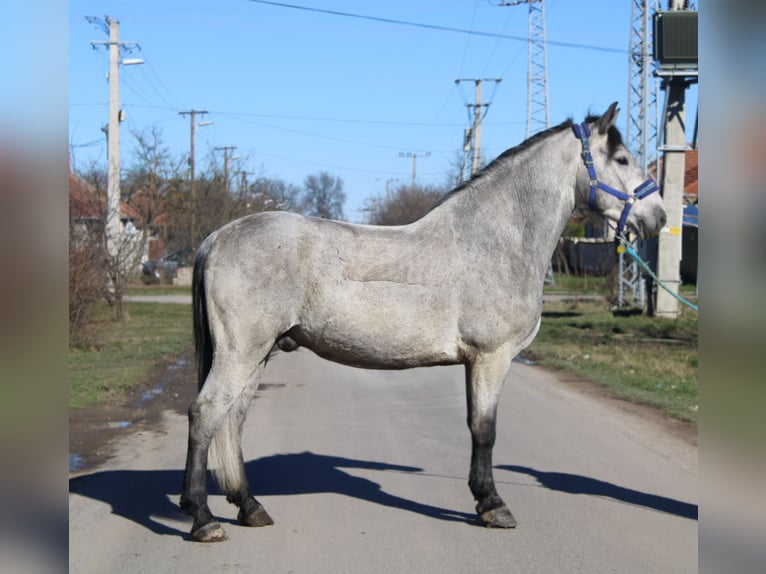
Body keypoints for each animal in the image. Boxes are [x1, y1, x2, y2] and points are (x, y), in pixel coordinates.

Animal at [180, 103, 666, 542]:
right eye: (623, 159)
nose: (659, 216)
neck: (493, 241)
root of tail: (218, 236)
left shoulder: (476, 362)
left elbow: (475, 425)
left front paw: (483, 499)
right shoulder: (491, 358)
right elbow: (485, 430)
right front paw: (493, 506)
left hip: (257, 354)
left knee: (232, 420)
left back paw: (249, 507)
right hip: (241, 354)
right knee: (206, 415)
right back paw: (202, 519)